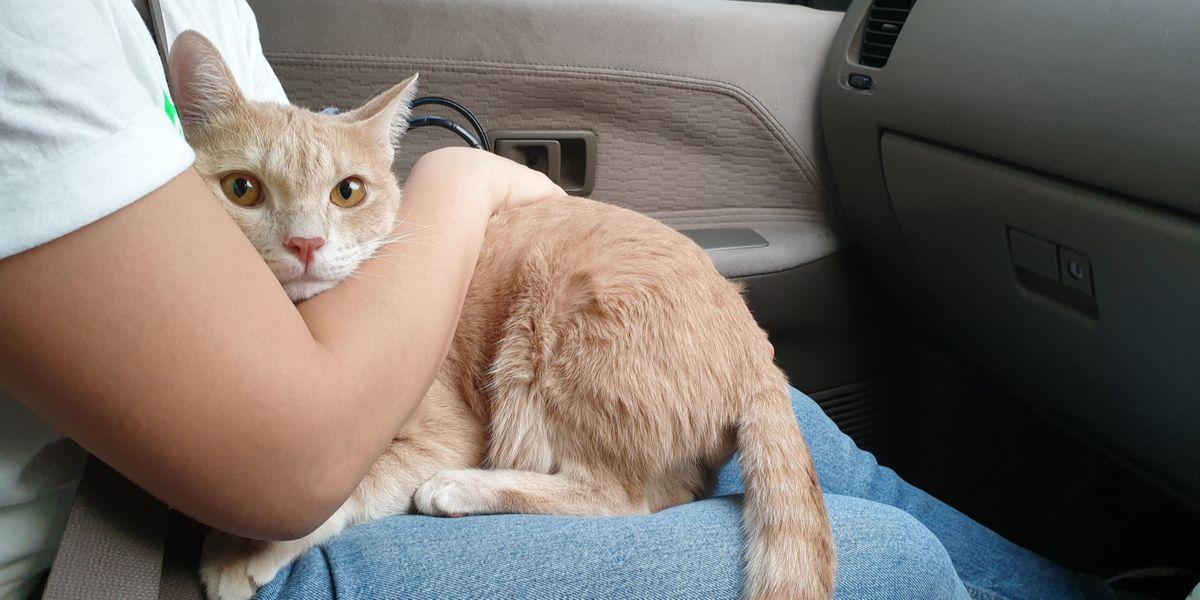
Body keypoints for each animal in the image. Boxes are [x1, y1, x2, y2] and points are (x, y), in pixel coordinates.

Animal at [171, 30, 835, 600]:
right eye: (242, 189)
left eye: (347, 192)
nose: (306, 243)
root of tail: (758, 353)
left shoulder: (445, 436)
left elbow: (352, 483)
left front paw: (241, 550)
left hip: (554, 328)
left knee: (619, 498)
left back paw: (464, 486)